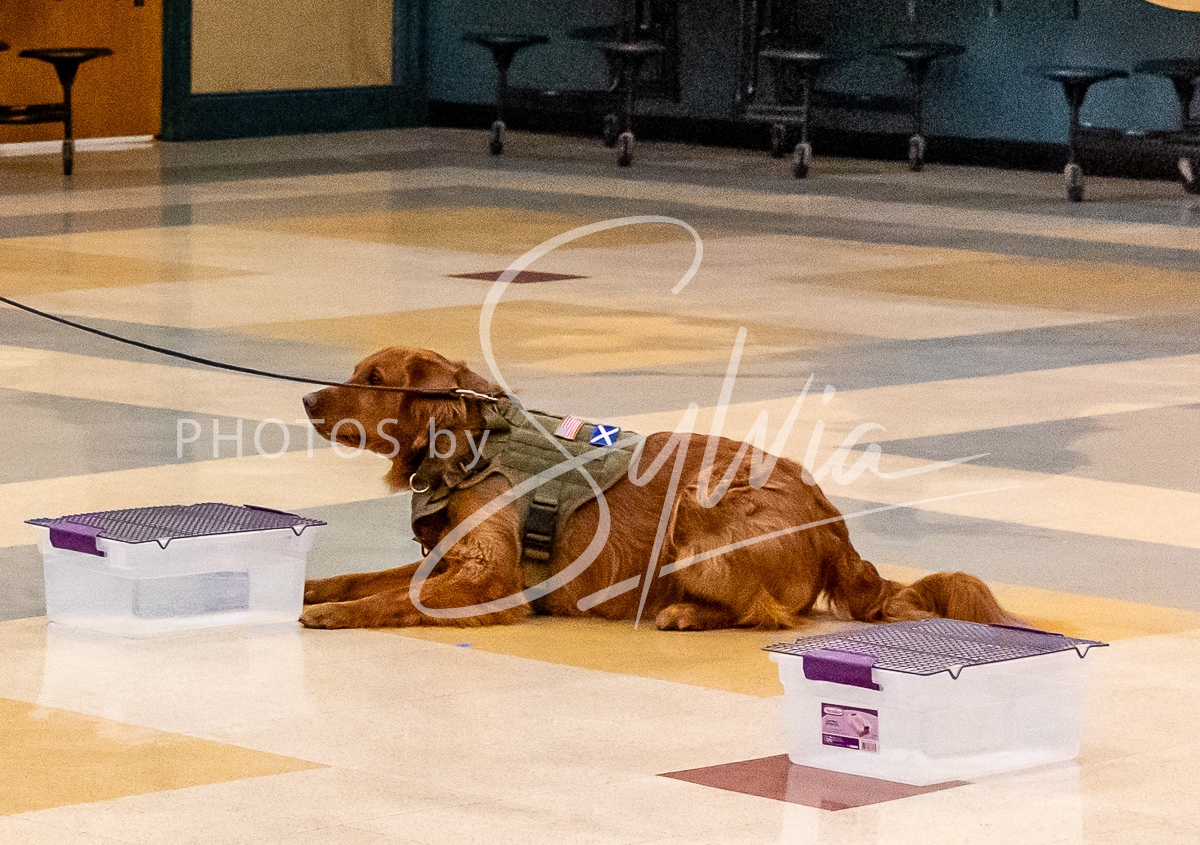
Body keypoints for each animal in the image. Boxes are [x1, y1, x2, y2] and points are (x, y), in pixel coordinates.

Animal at [300, 347, 1011, 631]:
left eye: (371, 380)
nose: (305, 398)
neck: (474, 443)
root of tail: (832, 520)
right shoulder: (446, 558)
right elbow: (360, 579)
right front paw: (315, 589)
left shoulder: (488, 578)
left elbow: (389, 598)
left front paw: (337, 614)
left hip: (697, 511)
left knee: (768, 612)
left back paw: (687, 614)